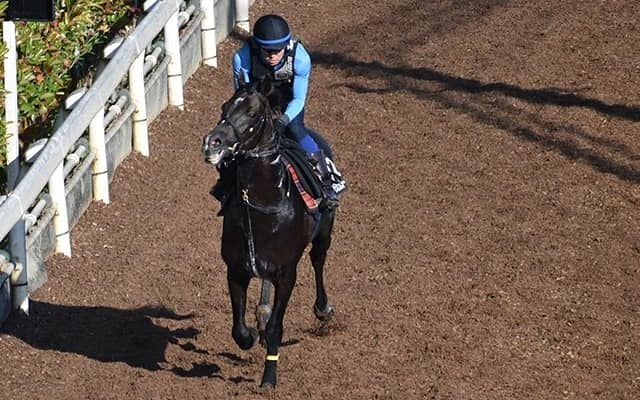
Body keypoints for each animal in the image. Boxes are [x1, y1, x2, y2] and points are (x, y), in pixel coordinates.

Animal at [201, 78, 336, 388]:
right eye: (224, 107)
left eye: (252, 113)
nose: (212, 142)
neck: (264, 203)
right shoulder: (236, 270)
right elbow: (238, 330)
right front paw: (252, 334)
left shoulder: (286, 275)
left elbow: (277, 327)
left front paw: (269, 377)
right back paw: (260, 317)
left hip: (325, 231)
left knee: (318, 260)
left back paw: (322, 309)